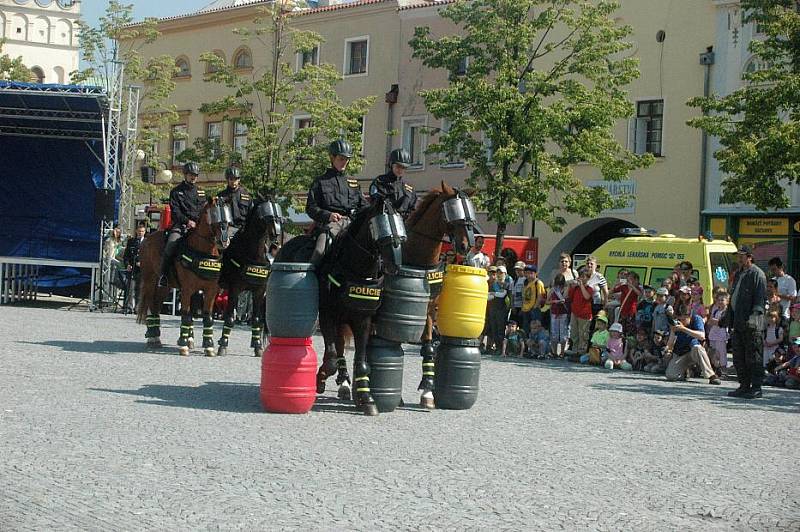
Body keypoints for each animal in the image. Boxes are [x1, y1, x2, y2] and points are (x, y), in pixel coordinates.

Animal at [135, 197, 231, 356]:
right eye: (214, 216)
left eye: (228, 217)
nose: (223, 241)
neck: (202, 251)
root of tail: (146, 239)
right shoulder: (187, 289)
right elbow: (186, 314)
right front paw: (184, 345)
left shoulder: (210, 291)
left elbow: (207, 317)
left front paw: (209, 346)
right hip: (150, 281)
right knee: (151, 305)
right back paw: (153, 338)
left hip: (164, 287)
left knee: (156, 305)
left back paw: (156, 338)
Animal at [216, 200, 284, 358]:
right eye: (268, 216)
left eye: (279, 216)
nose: (276, 234)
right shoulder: (234, 290)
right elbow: (230, 318)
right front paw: (223, 345)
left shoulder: (259, 291)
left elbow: (256, 320)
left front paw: (258, 346)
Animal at [278, 195, 410, 416]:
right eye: (381, 226)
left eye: (400, 226)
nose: (394, 265)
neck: (352, 268)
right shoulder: (327, 315)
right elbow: (330, 358)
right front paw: (320, 378)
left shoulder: (362, 319)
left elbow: (361, 361)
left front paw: (366, 398)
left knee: (340, 346)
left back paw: (345, 384)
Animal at [398, 181, 476, 410]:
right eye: (453, 213)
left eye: (469, 213)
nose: (466, 245)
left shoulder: (428, 310)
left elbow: (428, 348)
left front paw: (427, 391)